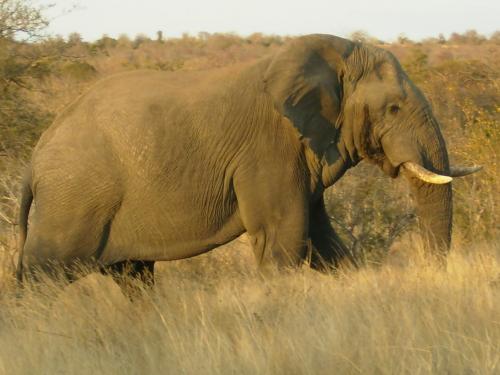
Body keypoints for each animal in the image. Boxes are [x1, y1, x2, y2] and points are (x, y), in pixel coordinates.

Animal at [16, 33, 480, 284]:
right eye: (394, 110)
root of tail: (34, 159)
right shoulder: (268, 150)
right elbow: (284, 237)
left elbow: (323, 242)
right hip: (73, 200)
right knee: (41, 275)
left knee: (132, 276)